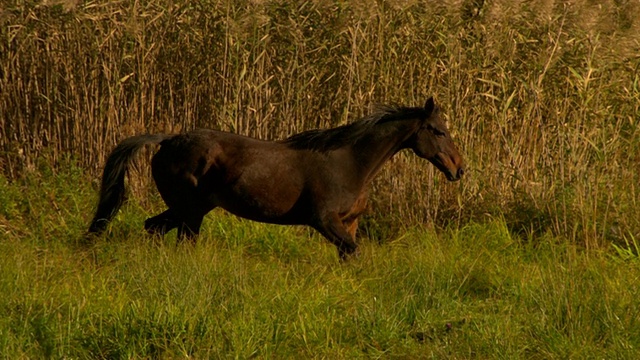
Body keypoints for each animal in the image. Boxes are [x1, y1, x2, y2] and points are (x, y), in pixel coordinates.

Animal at [86, 95, 464, 258]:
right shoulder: (323, 220)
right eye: (438, 131)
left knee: (152, 227)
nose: (460, 168)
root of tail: (167, 140)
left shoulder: (350, 222)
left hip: (188, 209)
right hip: (189, 211)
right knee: (178, 241)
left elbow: (350, 256)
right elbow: (352, 252)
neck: (350, 163)